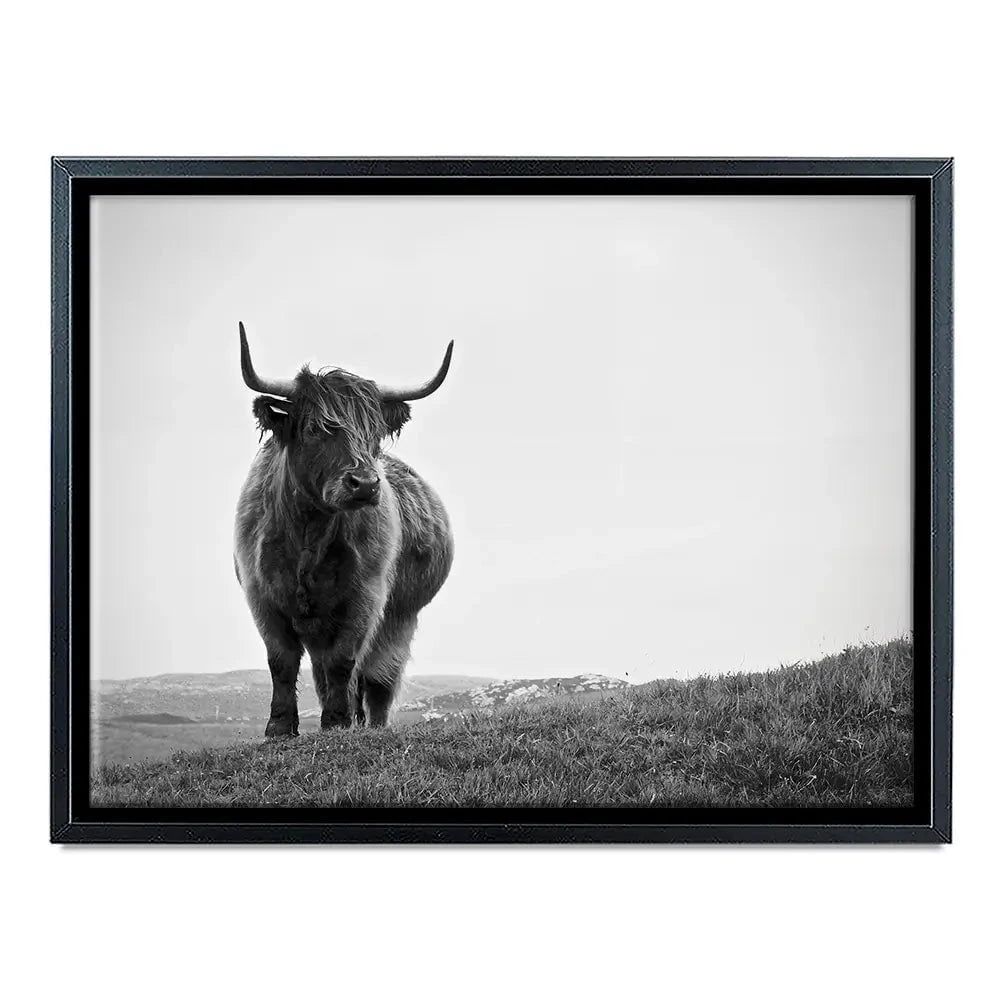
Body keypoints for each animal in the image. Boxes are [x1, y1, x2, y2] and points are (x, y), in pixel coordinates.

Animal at [233, 322, 455, 734]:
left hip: (400, 618)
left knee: (377, 679)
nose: (365, 484)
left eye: (373, 433)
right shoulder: (262, 596)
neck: (309, 532)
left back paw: (370, 724)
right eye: (315, 429)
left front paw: (336, 723)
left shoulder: (365, 598)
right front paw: (279, 728)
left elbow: (344, 662)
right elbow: (281, 661)